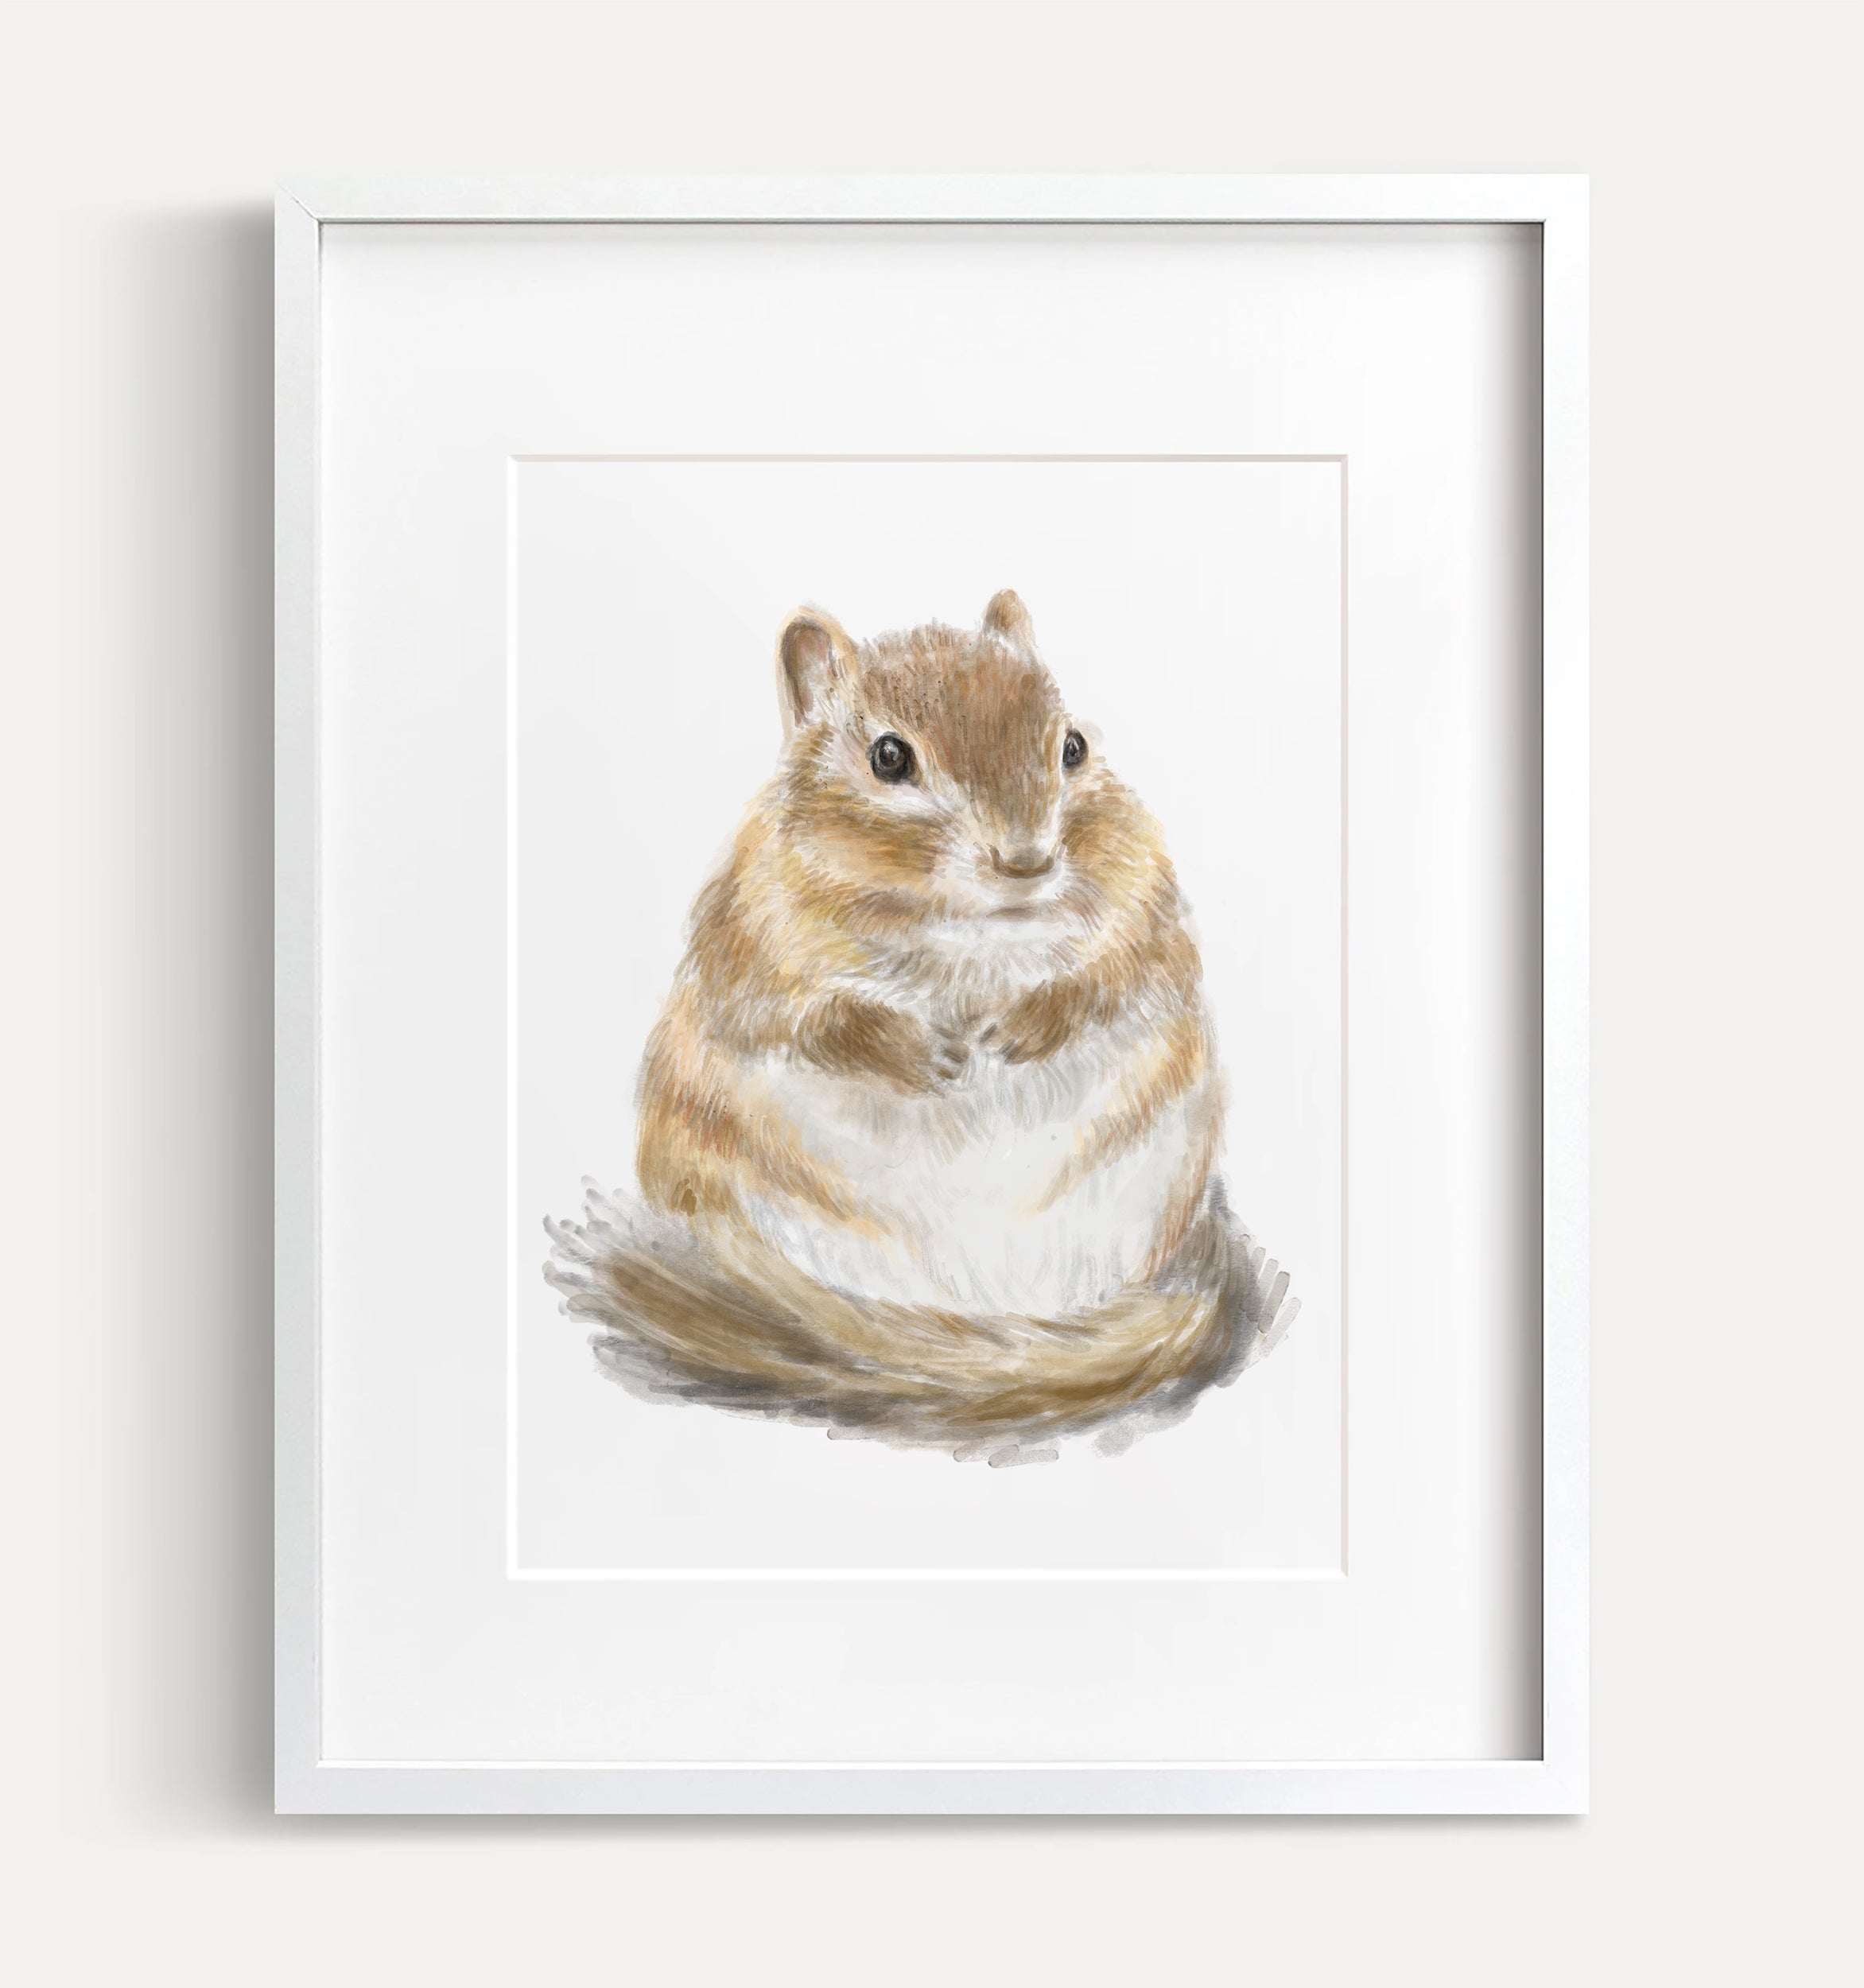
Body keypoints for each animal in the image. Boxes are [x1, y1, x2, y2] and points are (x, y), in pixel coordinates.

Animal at [548, 592, 1292, 1451]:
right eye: (888, 758)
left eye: (1072, 746)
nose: (1027, 862)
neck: (967, 930)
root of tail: (978, 1313)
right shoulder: (755, 949)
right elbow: (815, 1020)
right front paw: (919, 1051)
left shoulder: (1146, 913)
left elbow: (1112, 978)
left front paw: (1022, 1026)